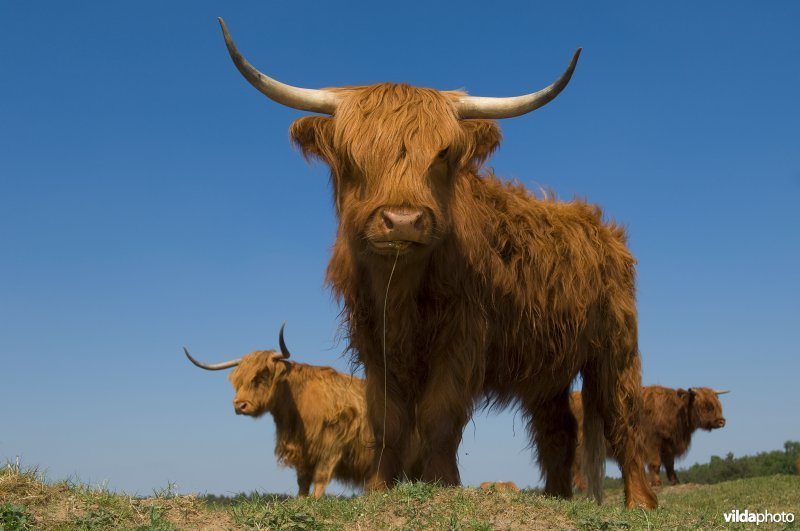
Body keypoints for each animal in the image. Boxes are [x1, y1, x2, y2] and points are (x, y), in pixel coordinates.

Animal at [185, 324, 376, 498]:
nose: (239, 405)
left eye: (261, 376)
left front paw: (315, 501)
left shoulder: (332, 445)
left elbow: (321, 476)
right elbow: (303, 480)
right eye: (237, 381)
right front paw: (300, 501)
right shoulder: (301, 451)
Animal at [214, 16, 656, 510]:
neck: (401, 288)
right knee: (557, 428)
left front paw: (443, 483)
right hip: (548, 368)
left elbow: (438, 413)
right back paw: (557, 498)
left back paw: (639, 502)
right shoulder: (374, 339)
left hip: (614, 346)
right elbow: (387, 418)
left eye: (443, 153)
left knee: (623, 417)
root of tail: (600, 226)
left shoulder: (463, 335)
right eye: (351, 154)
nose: (403, 220)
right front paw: (380, 486)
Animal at [572, 386, 728, 490]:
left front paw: (675, 481)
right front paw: (657, 483)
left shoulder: (668, 445)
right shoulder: (652, 443)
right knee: (578, 466)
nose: (722, 421)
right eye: (707, 406)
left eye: (718, 405)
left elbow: (670, 465)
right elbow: (655, 463)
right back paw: (583, 487)